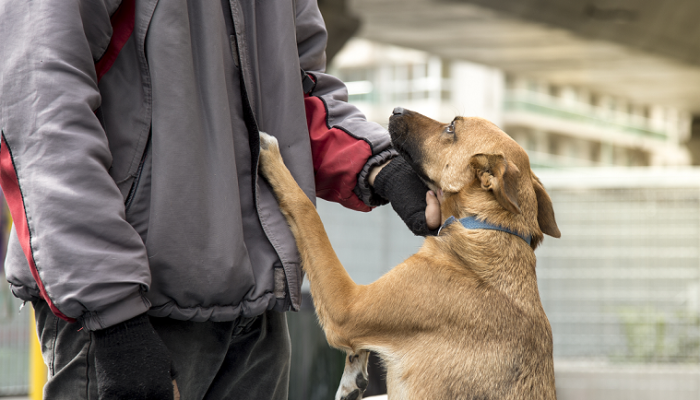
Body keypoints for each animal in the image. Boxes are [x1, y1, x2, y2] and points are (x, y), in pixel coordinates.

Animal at [260, 107, 560, 400]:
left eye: (451, 127)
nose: (396, 110)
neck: (484, 226)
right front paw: (352, 376)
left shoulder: (347, 307)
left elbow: (307, 211)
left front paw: (269, 154)